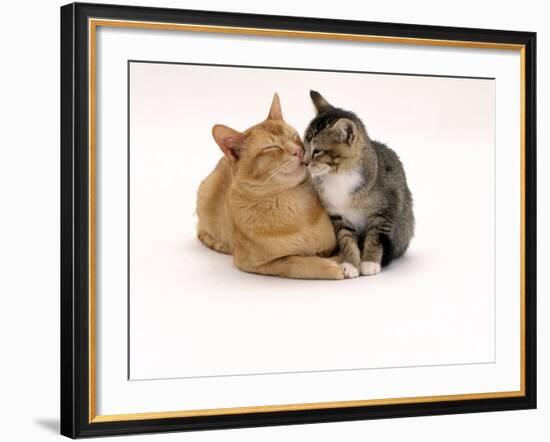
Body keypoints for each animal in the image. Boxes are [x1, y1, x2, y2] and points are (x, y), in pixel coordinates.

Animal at [197, 94, 344, 280]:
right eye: (272, 148)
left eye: (294, 136)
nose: (298, 151)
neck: (293, 203)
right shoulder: (258, 264)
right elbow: (297, 262)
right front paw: (330, 267)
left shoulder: (332, 246)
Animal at [304, 90, 416, 276]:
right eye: (304, 147)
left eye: (317, 151)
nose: (303, 162)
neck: (339, 175)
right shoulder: (338, 216)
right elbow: (346, 240)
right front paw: (351, 263)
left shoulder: (384, 211)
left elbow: (375, 238)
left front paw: (370, 262)